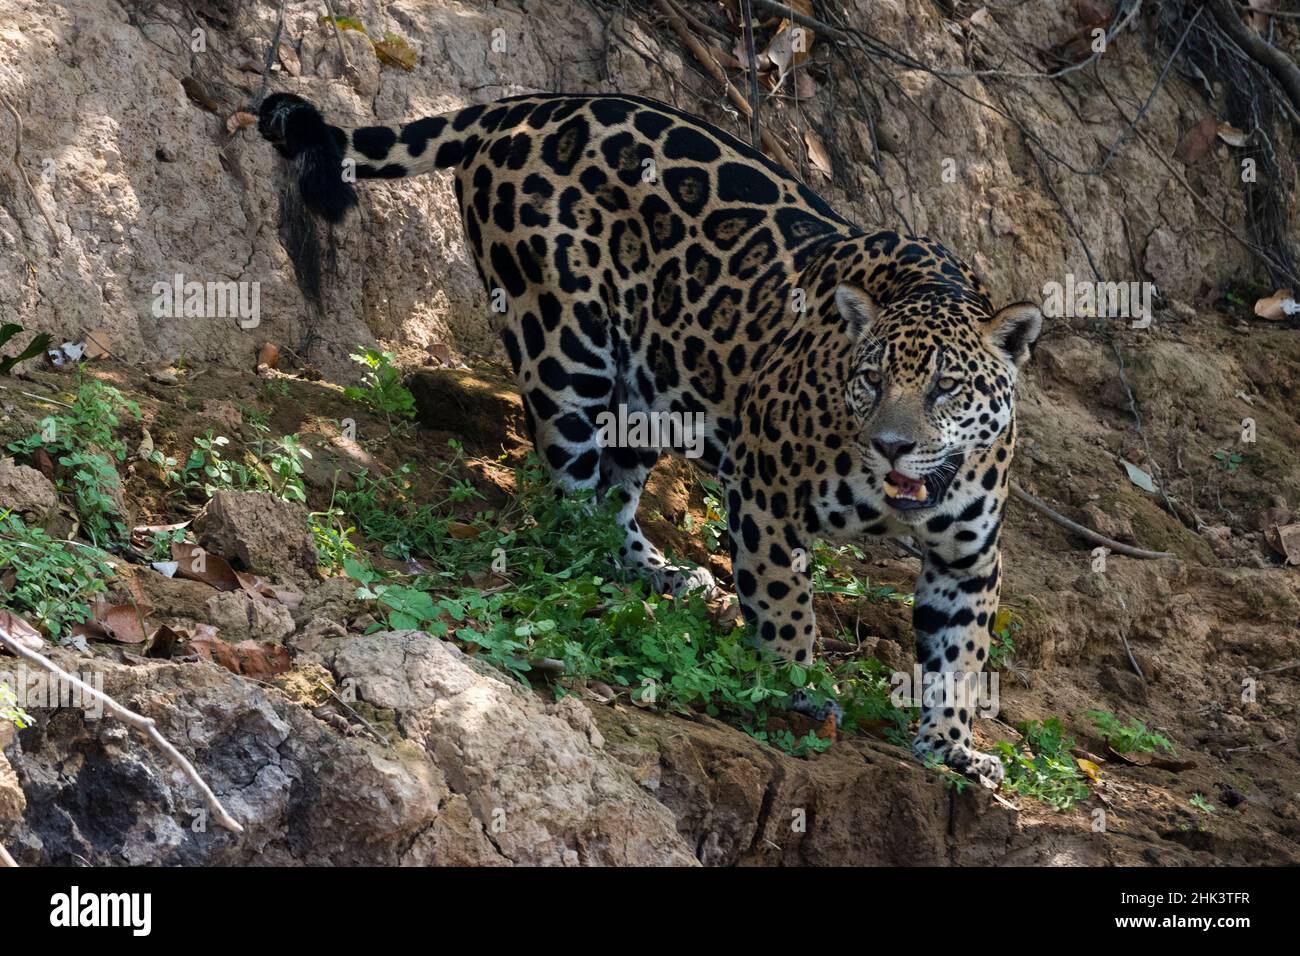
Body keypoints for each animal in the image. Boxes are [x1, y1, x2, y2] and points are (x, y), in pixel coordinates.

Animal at [257, 90, 1043, 783]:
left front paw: (951, 746)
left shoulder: (970, 558)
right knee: (569, 502)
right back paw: (597, 578)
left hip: (650, 390)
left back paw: (661, 573)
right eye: (871, 380)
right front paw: (794, 686)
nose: (891, 446)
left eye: (946, 387)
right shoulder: (766, 497)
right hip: (564, 346)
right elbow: (786, 606)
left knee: (615, 496)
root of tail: (525, 106)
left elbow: (960, 656)